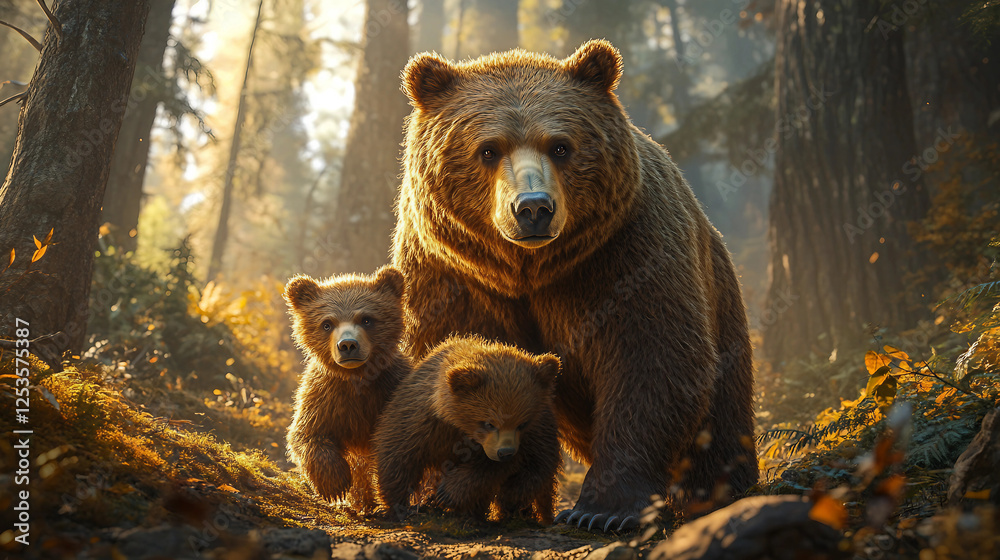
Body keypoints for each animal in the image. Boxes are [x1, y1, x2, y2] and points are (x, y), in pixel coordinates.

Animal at [284, 265, 410, 513]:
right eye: (327, 323)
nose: (348, 345)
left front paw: (389, 495)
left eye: (367, 319)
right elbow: (306, 434)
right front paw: (334, 484)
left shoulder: (390, 390)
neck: (356, 378)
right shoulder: (324, 398)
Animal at [373, 336, 562, 524]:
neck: (460, 425)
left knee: (534, 473)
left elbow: (487, 470)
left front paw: (448, 494)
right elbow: (398, 452)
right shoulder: (423, 419)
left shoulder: (520, 442)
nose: (505, 452)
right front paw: (399, 506)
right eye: (489, 423)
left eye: (522, 424)